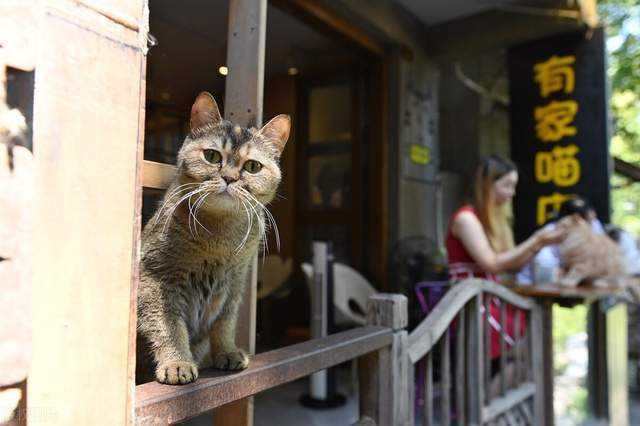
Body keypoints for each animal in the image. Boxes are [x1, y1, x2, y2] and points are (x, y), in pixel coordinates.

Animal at [139, 91, 292, 384]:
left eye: (253, 166)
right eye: (211, 156)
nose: (229, 178)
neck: (218, 236)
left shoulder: (234, 282)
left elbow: (224, 323)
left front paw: (227, 352)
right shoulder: (157, 277)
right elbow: (169, 326)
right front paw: (177, 362)